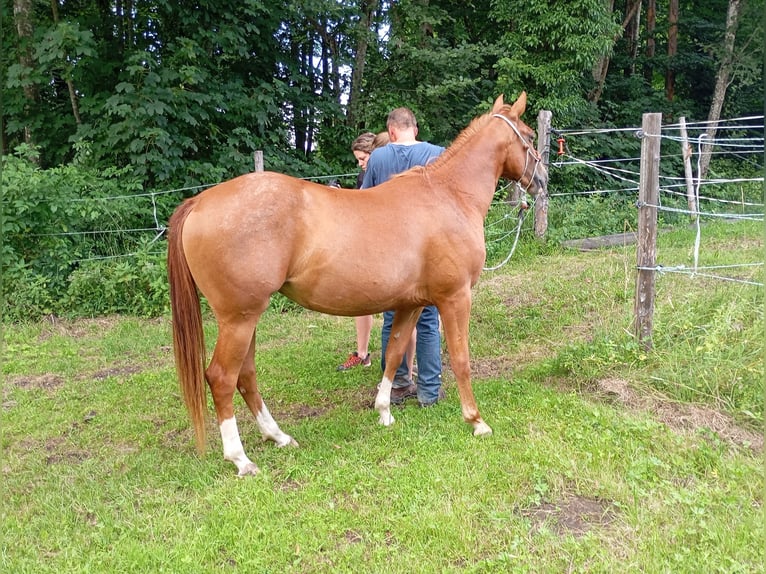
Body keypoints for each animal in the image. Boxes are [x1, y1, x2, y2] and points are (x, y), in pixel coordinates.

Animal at [167, 92, 547, 475]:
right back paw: (240, 459)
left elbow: (394, 353)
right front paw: (476, 420)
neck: (449, 195)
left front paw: (384, 412)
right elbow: (460, 359)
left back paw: (278, 436)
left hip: (246, 319)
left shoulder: (411, 303)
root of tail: (199, 201)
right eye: (530, 136)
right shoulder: (455, 298)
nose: (543, 179)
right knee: (221, 377)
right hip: (239, 319)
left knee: (245, 376)